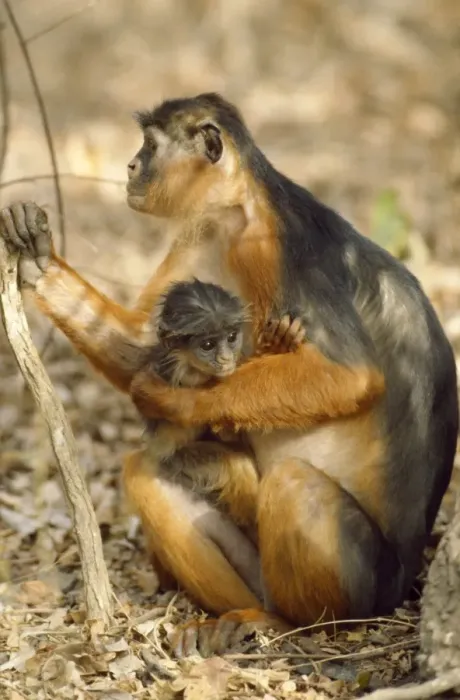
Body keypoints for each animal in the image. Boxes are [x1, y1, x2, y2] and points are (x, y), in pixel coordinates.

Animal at [0, 92, 457, 660]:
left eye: (149, 147)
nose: (130, 166)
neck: (243, 204)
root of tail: (406, 581)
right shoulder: (208, 232)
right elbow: (147, 347)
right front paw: (38, 259)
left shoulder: (270, 244)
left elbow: (351, 377)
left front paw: (174, 404)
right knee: (147, 473)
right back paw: (237, 612)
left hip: (366, 586)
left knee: (293, 483)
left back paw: (285, 624)